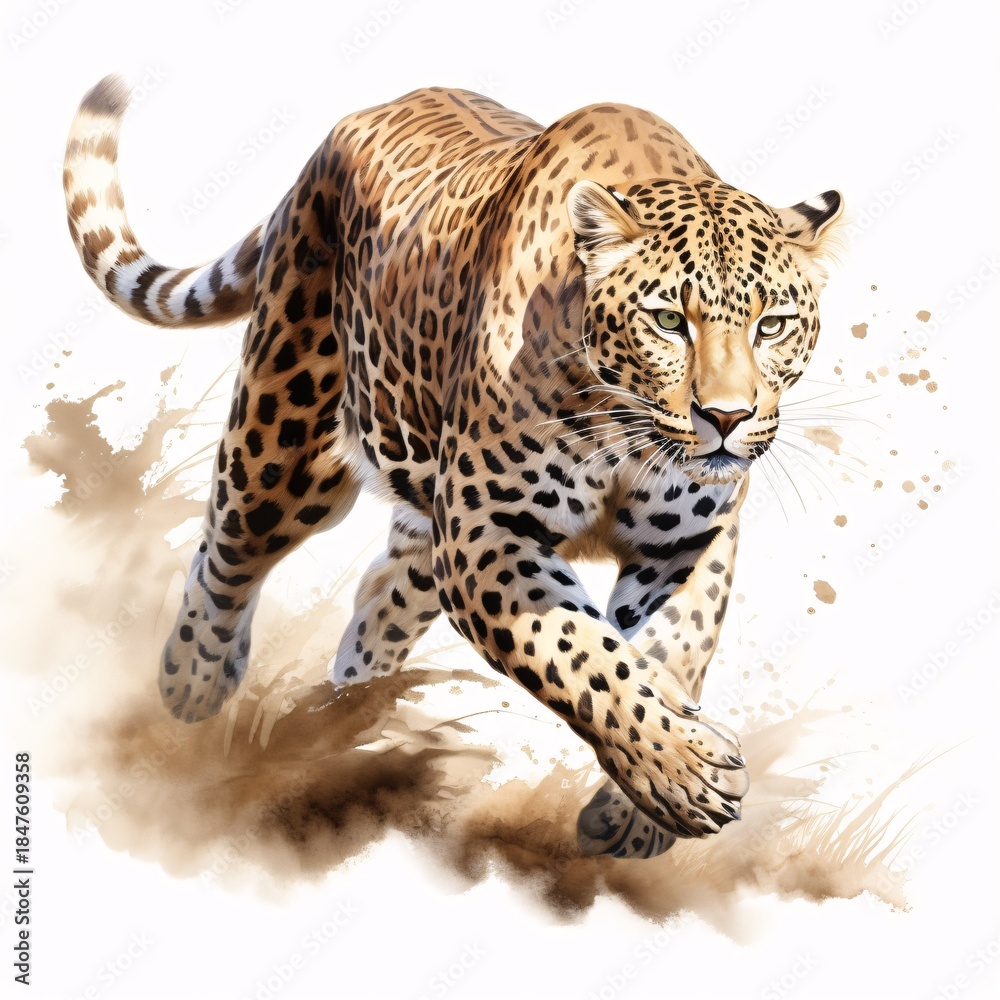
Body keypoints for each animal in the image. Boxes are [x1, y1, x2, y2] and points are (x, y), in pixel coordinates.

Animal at [63, 75, 843, 860]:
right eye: (667, 322)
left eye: (772, 325)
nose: (726, 418)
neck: (623, 426)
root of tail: (345, 130)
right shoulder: (485, 532)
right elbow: (581, 655)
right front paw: (684, 773)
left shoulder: (686, 540)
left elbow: (676, 644)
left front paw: (636, 814)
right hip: (288, 447)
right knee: (225, 551)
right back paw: (192, 686)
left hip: (418, 503)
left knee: (383, 591)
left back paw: (344, 727)